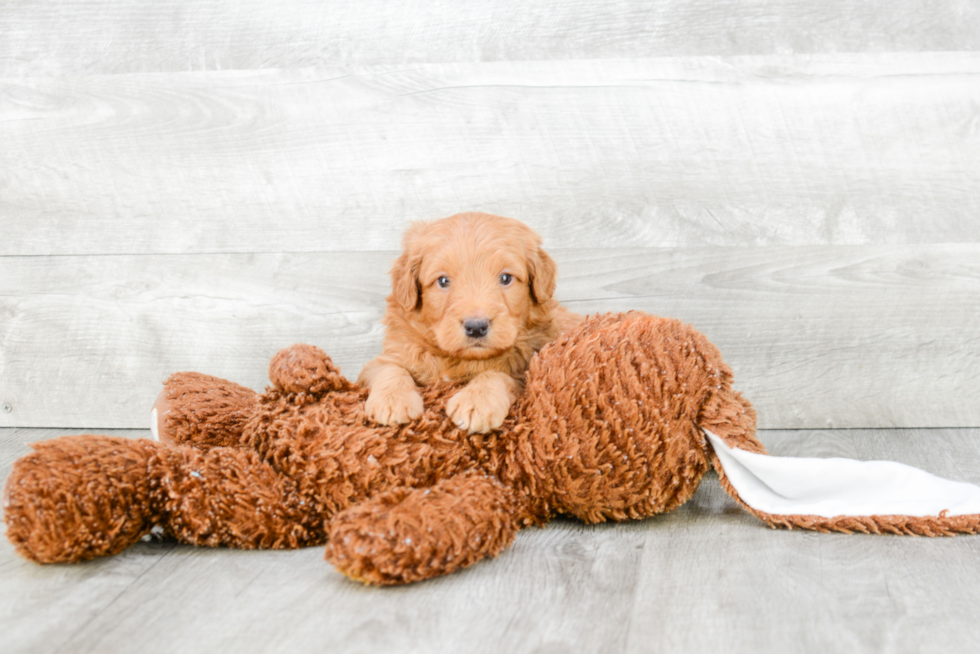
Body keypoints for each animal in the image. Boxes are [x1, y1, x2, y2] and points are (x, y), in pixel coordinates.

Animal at [358, 213, 580, 434]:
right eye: (443, 281)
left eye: (505, 278)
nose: (476, 327)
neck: (459, 359)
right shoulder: (387, 357)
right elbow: (390, 369)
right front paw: (392, 401)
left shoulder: (525, 370)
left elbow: (497, 374)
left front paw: (477, 403)